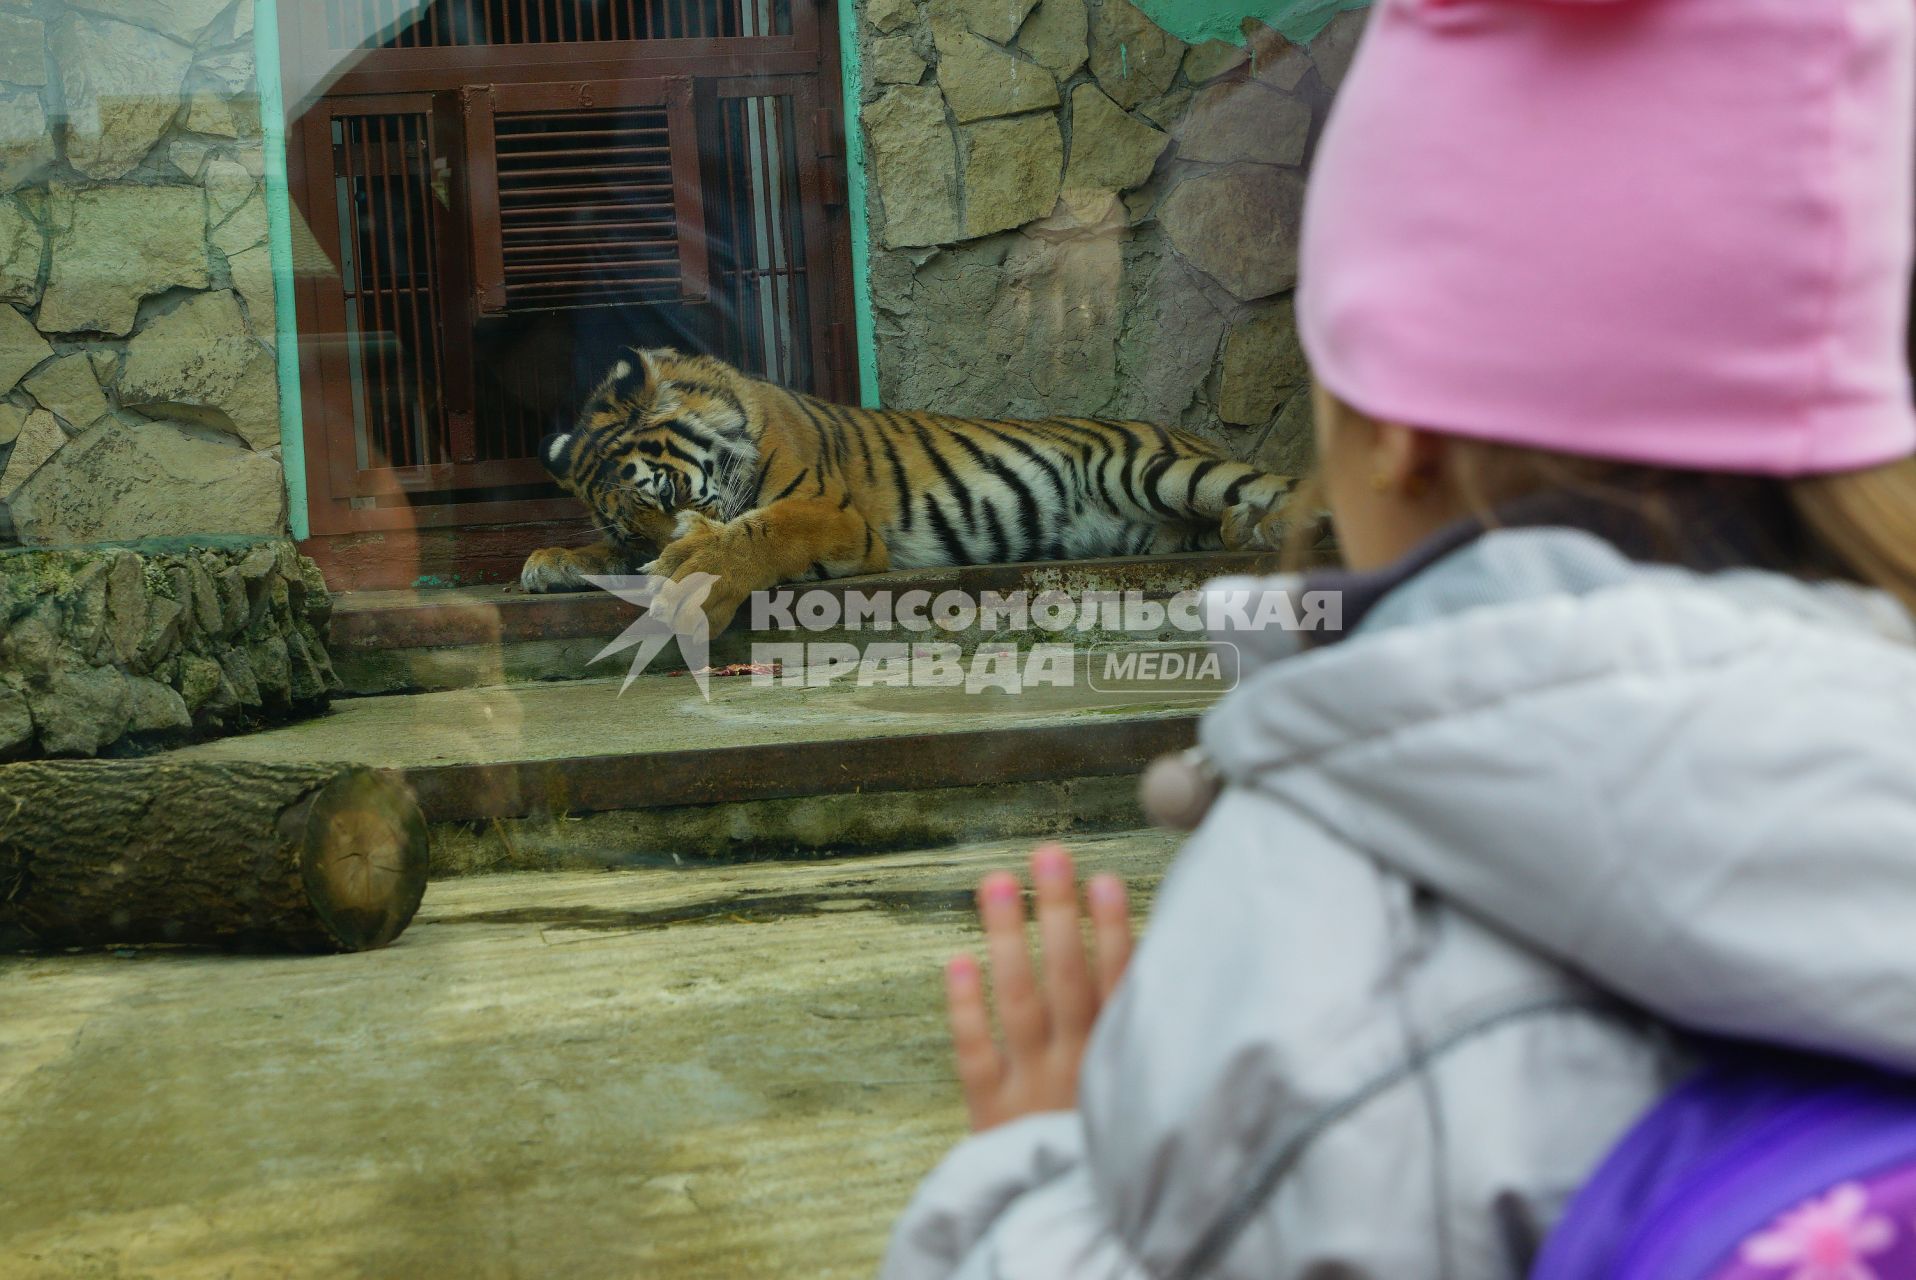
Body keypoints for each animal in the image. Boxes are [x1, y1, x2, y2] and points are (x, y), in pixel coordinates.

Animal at [521, 346, 1302, 632]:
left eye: (663, 498)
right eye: (630, 530)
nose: (654, 548)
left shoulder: (834, 515)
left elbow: (757, 532)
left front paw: (691, 573)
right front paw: (551, 562)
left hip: (1154, 468)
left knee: (1281, 485)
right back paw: (1240, 531)